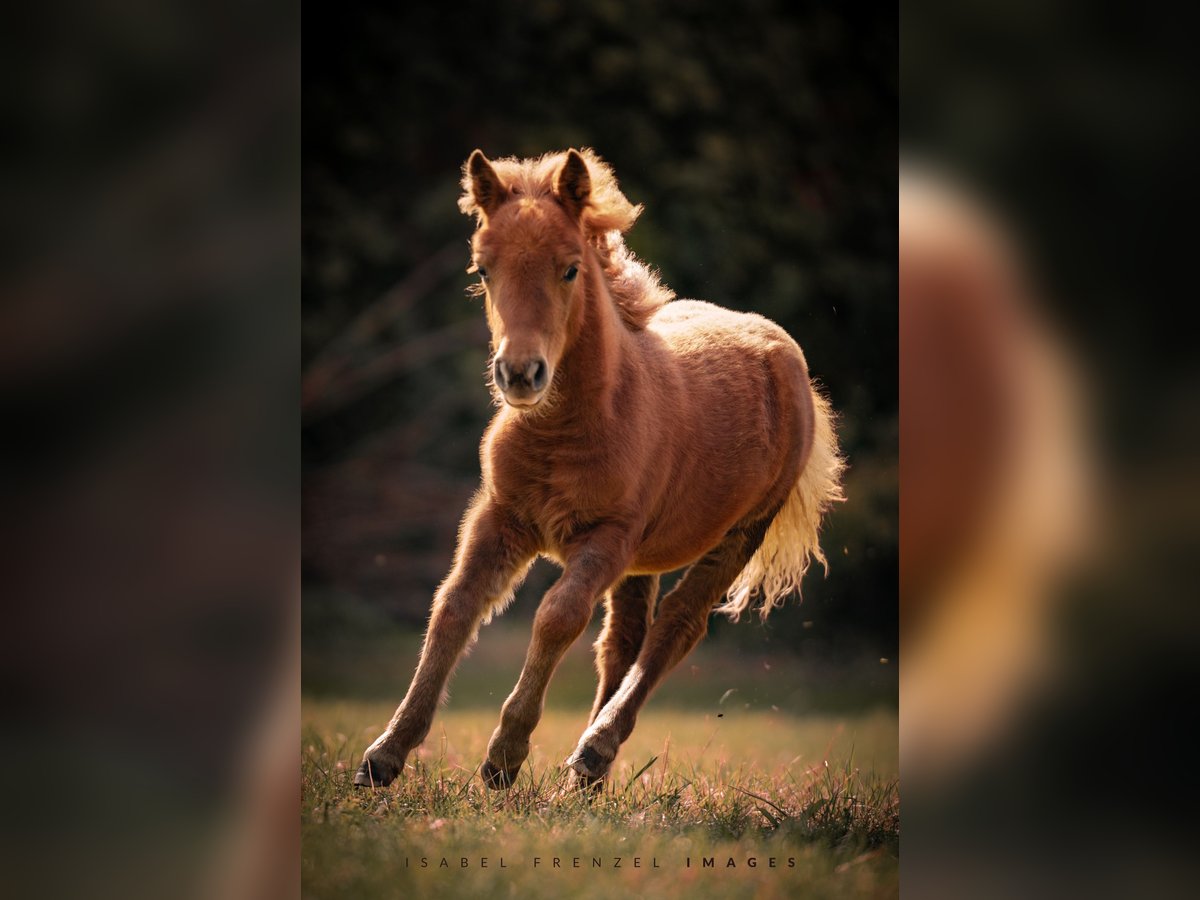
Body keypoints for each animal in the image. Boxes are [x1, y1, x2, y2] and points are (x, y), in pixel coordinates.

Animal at [355, 148, 844, 787]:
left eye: (569, 270)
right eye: (483, 269)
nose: (519, 374)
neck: (565, 429)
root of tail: (785, 351)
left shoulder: (608, 537)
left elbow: (557, 617)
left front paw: (504, 757)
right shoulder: (501, 518)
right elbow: (454, 607)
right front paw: (385, 755)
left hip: (738, 533)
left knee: (675, 628)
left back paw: (595, 748)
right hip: (644, 556)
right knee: (623, 638)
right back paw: (584, 778)